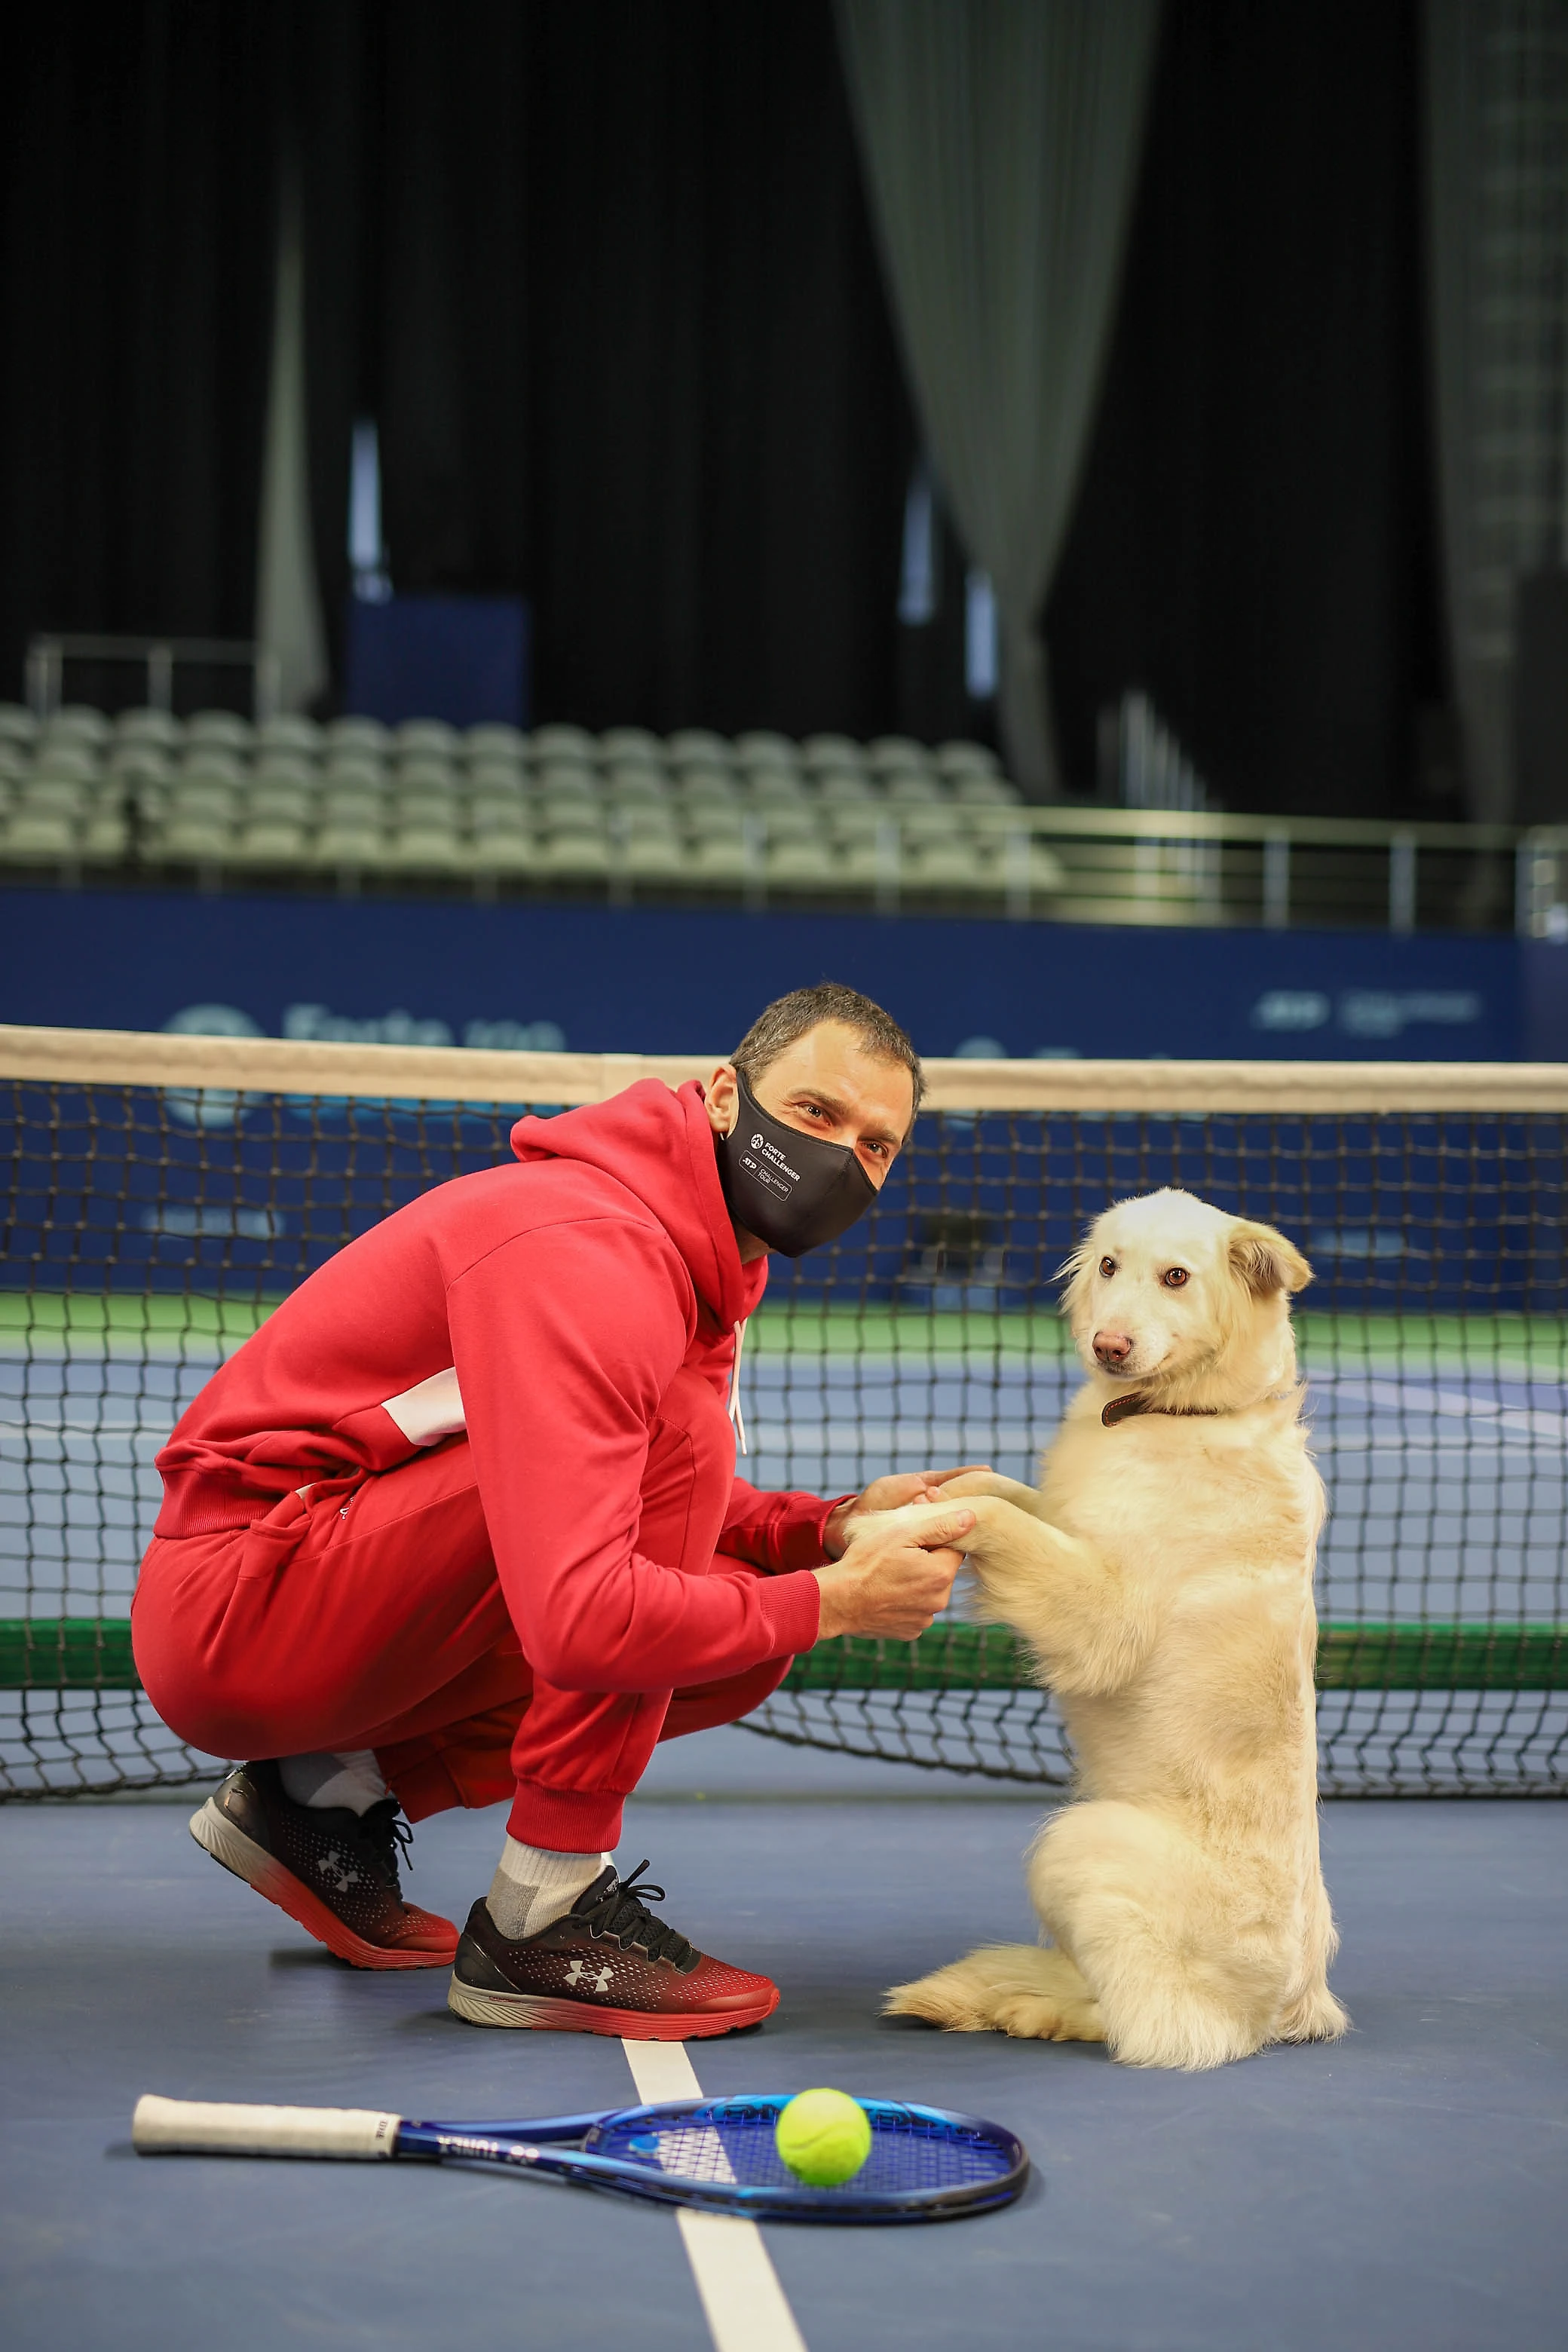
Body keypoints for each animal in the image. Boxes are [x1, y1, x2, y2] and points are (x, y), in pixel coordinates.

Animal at [869, 1194, 1354, 2079]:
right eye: (1107, 1266)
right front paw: (896, 1500)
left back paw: (1030, 2009)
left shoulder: (1102, 1614)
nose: (1109, 1345)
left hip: (1079, 1842)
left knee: (1152, 2023)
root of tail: (1295, 2010)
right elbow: (988, 1485)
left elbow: (987, 1513)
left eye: (1177, 1277)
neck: (1180, 1411)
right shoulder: (1063, 1524)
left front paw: (889, 1526)